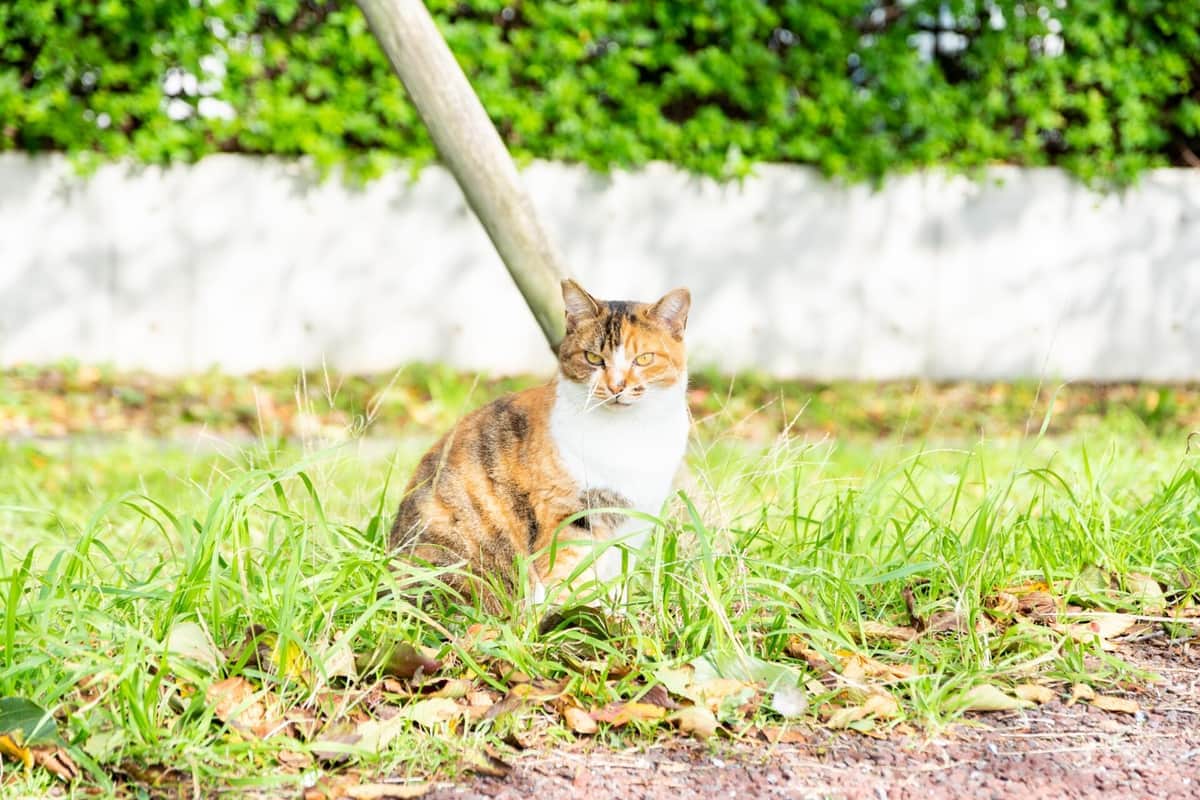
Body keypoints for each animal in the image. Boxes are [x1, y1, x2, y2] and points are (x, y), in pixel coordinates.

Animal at [391, 280, 696, 606]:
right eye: (592, 358)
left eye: (645, 359)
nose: (616, 387)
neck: (628, 434)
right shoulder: (569, 513)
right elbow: (572, 575)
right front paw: (579, 612)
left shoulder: (636, 520)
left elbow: (618, 576)